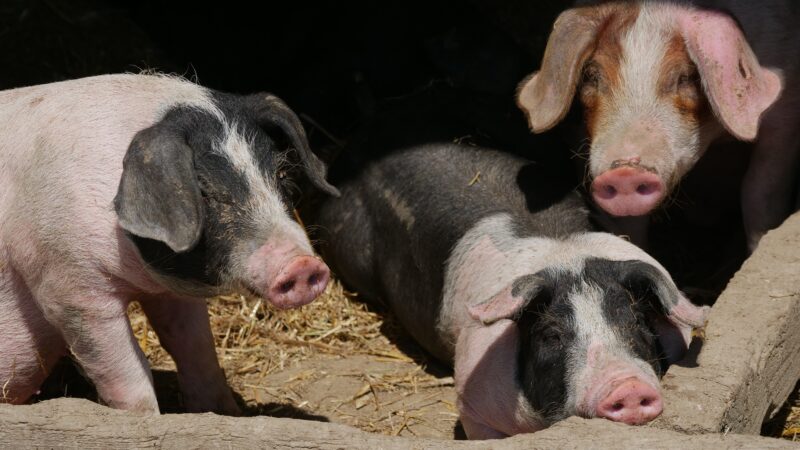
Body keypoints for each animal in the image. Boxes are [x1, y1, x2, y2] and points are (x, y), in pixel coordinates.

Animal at [0, 74, 338, 414]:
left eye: (280, 175)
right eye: (204, 191)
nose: (303, 265)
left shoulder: (171, 290)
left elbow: (197, 352)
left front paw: (224, 413)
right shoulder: (70, 288)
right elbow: (130, 377)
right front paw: (147, 418)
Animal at [516, 0, 800, 250]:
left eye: (687, 77)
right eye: (591, 76)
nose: (625, 171)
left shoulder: (784, 116)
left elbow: (758, 194)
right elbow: (628, 226)